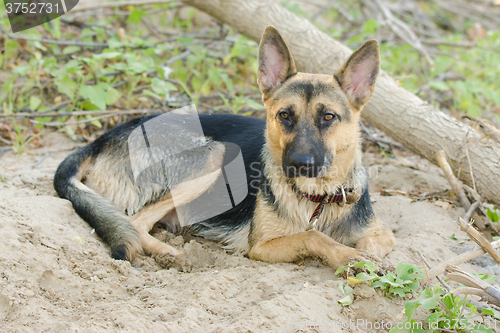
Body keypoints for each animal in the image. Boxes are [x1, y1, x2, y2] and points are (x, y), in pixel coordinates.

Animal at [52, 26, 394, 270]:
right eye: (285, 115)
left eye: (328, 117)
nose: (300, 164)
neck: (317, 200)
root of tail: (104, 137)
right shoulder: (262, 246)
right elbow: (313, 235)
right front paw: (347, 257)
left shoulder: (382, 235)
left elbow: (370, 246)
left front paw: (361, 258)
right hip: (214, 154)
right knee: (135, 223)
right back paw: (170, 253)